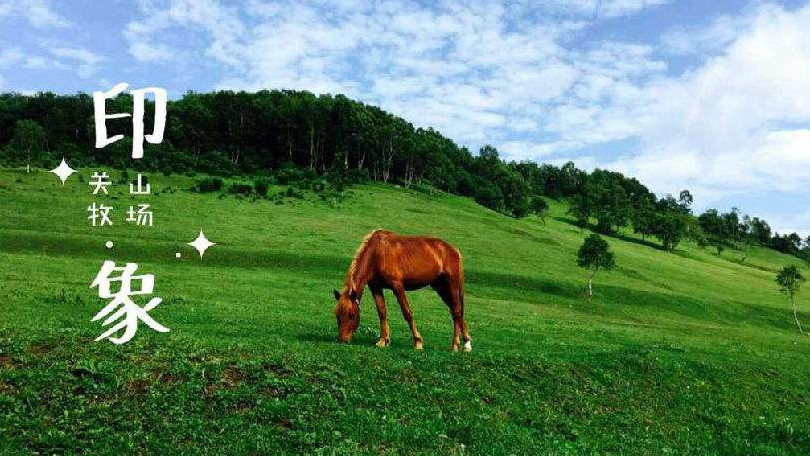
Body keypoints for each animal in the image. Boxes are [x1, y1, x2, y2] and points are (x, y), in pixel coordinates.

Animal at [332, 230, 470, 350]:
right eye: (337, 315)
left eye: (351, 315)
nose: (343, 340)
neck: (377, 253)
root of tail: (454, 250)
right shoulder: (375, 287)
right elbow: (382, 312)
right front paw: (383, 340)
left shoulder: (397, 286)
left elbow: (407, 312)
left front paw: (418, 342)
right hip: (440, 287)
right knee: (456, 312)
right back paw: (466, 342)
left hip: (452, 285)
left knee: (456, 311)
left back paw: (455, 345)